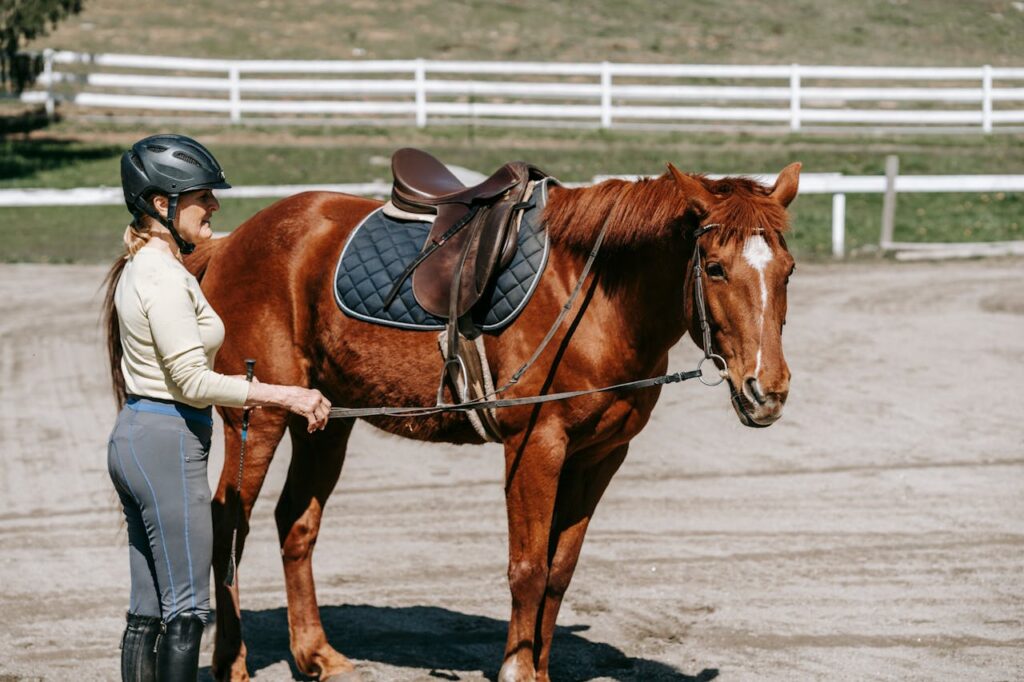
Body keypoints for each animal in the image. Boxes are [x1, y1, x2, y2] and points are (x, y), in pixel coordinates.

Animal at [187, 160, 800, 681]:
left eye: (789, 271)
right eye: (715, 269)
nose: (765, 391)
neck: (593, 298)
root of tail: (231, 241)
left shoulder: (600, 457)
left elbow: (559, 570)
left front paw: (540, 669)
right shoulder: (536, 446)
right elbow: (527, 569)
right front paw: (517, 671)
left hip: (326, 420)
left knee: (296, 523)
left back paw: (317, 655)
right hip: (257, 417)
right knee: (228, 524)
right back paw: (232, 662)